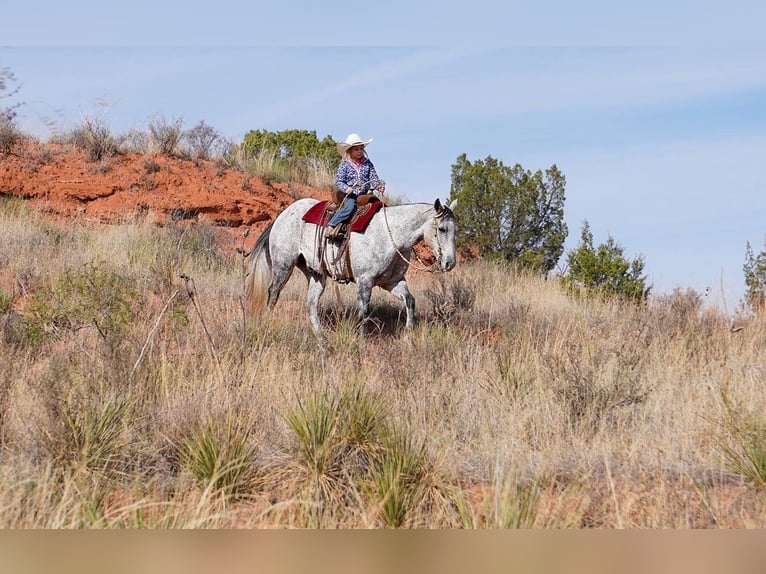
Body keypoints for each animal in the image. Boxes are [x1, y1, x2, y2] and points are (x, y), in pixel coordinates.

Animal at [246, 198, 460, 336]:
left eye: (455, 230)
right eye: (442, 229)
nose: (450, 263)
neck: (390, 236)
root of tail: (281, 216)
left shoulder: (392, 282)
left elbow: (410, 301)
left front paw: (408, 332)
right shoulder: (364, 281)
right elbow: (363, 311)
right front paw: (362, 338)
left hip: (316, 274)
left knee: (311, 302)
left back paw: (320, 334)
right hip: (283, 265)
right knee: (273, 293)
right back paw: (268, 322)